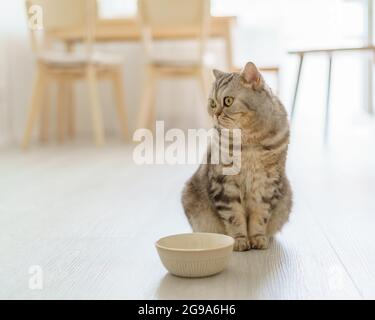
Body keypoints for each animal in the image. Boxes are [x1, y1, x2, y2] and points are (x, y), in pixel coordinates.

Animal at [182, 62, 294, 250]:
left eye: (228, 101)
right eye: (212, 103)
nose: (216, 114)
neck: (249, 139)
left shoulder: (268, 183)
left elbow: (260, 216)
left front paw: (257, 239)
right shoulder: (224, 182)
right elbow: (234, 217)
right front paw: (240, 240)